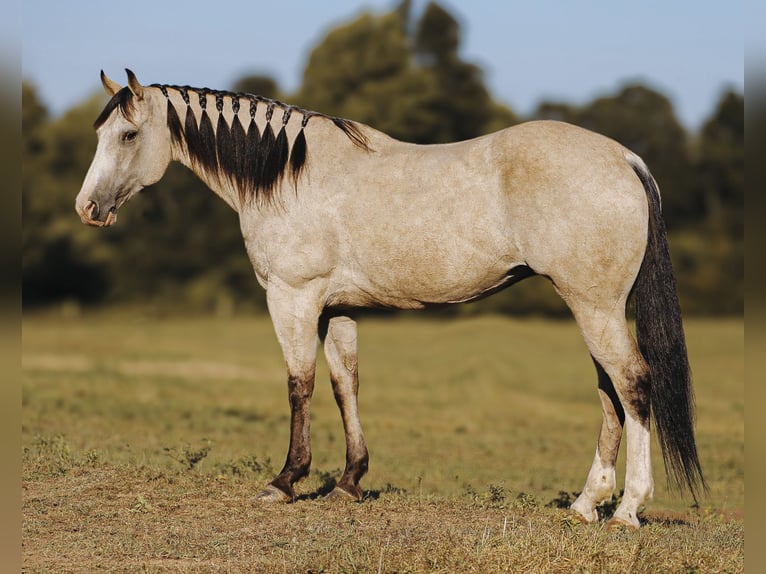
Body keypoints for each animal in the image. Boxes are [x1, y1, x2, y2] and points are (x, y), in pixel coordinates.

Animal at [75, 70, 704, 528]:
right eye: (101, 134)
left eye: (128, 135)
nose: (87, 208)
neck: (289, 173)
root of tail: (624, 158)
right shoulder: (337, 308)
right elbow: (344, 384)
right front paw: (349, 482)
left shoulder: (292, 299)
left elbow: (299, 384)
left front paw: (286, 481)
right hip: (593, 308)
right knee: (610, 392)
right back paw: (585, 504)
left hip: (594, 307)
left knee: (632, 383)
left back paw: (627, 509)